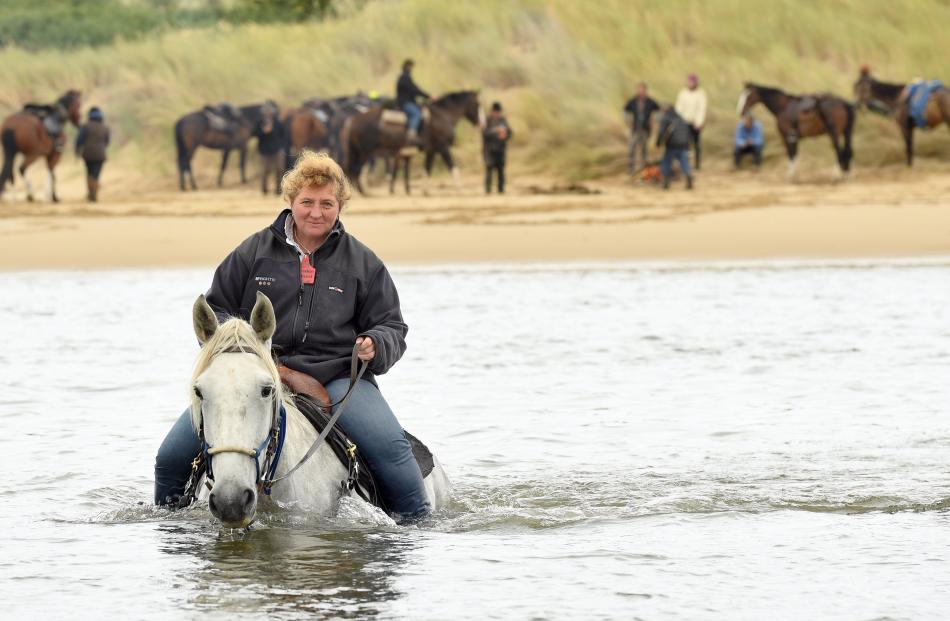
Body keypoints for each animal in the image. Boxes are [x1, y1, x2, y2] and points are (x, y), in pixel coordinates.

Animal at [342, 89, 484, 194]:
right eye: (477, 104)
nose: (483, 123)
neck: (442, 115)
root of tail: (353, 120)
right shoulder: (443, 147)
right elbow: (452, 167)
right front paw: (460, 188)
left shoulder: (431, 150)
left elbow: (427, 169)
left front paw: (425, 191)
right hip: (364, 152)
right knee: (355, 170)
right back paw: (362, 193)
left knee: (354, 170)